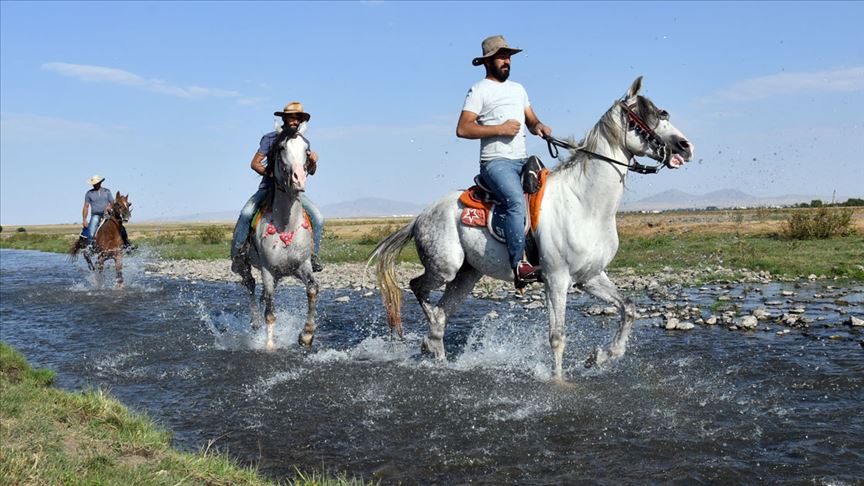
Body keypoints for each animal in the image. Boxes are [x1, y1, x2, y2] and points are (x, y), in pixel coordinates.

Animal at [236, 123, 318, 348]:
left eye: (307, 150)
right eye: (281, 147)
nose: (299, 178)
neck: (285, 225)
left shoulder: (302, 265)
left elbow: (312, 289)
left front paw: (306, 335)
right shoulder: (268, 271)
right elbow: (270, 313)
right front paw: (269, 345)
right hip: (245, 266)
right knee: (251, 287)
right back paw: (255, 323)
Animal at [372, 77, 696, 380]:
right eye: (651, 114)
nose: (686, 146)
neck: (585, 203)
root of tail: (420, 216)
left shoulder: (590, 277)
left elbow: (628, 308)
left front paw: (599, 357)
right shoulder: (556, 280)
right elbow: (557, 337)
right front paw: (558, 381)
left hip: (467, 275)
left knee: (440, 316)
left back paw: (435, 353)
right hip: (446, 268)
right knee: (418, 288)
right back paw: (429, 344)